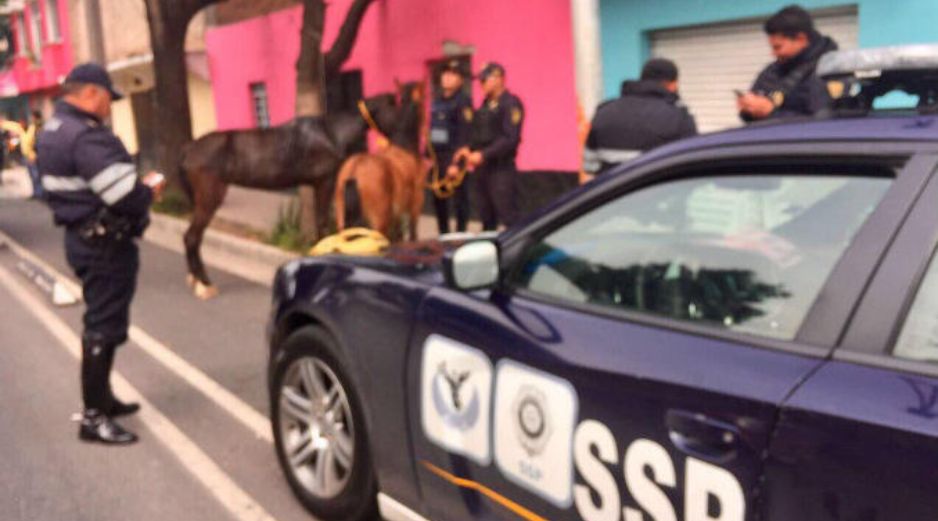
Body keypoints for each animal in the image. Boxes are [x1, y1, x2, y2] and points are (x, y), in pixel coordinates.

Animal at [179, 92, 398, 298]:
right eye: (395, 106)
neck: (330, 134)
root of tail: (189, 148)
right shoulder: (324, 182)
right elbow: (322, 222)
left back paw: (196, 280)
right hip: (210, 198)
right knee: (192, 237)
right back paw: (204, 285)